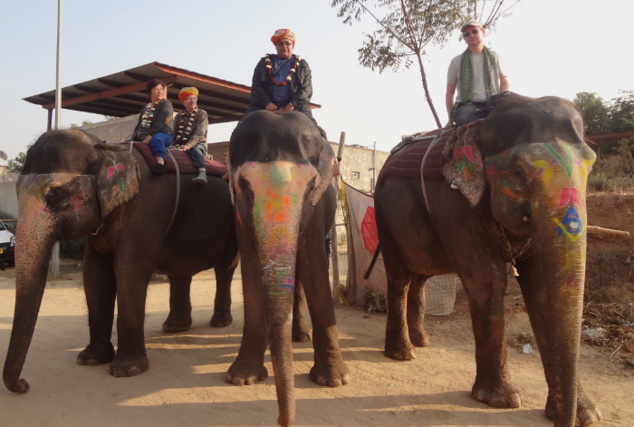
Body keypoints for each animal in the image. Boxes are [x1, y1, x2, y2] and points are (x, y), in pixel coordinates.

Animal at [2, 128, 237, 394]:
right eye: (16, 192)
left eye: (56, 195)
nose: (24, 384)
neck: (106, 150)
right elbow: (94, 275)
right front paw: (90, 359)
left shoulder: (143, 211)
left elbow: (129, 272)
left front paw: (127, 371)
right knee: (180, 272)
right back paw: (174, 328)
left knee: (225, 269)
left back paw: (219, 323)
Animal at [223, 111, 350, 427]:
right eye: (245, 185)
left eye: (311, 185)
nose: (284, 421)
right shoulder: (240, 214)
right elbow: (251, 270)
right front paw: (243, 378)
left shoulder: (317, 207)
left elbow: (315, 268)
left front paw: (333, 381)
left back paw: (301, 337)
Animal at [372, 95, 600, 426]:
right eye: (518, 173)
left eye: (590, 168)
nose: (565, 419)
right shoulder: (452, 201)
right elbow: (487, 280)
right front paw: (501, 400)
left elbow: (541, 290)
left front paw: (588, 414)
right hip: (384, 215)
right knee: (400, 277)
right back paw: (403, 353)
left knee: (421, 275)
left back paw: (422, 341)